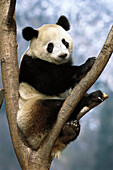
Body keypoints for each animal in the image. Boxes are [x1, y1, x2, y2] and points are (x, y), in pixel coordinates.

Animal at [17, 15, 104, 158]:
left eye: (64, 42)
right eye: (50, 46)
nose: (63, 55)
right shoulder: (31, 64)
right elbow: (50, 81)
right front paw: (86, 64)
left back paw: (70, 131)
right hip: (31, 115)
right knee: (55, 107)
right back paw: (89, 98)